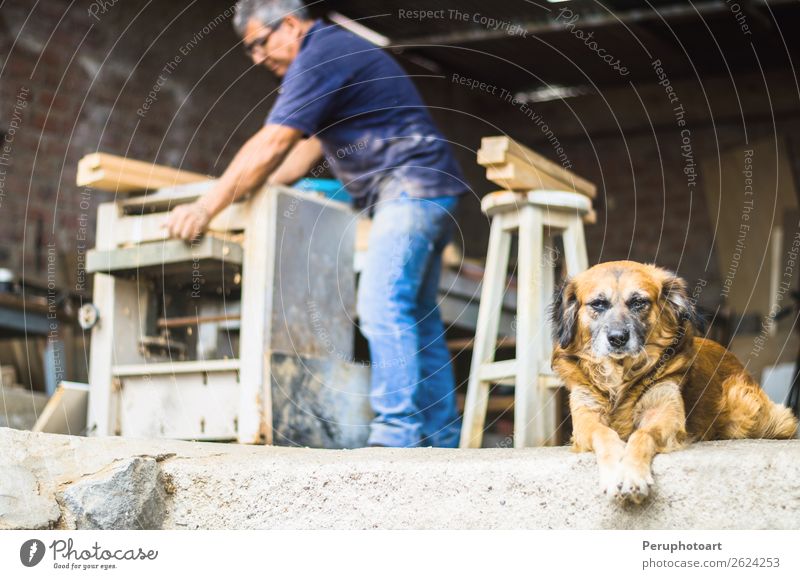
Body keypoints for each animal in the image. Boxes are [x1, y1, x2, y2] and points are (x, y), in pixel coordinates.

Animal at [552, 260, 796, 506]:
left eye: (639, 302)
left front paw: (631, 475)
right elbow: (604, 434)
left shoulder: (664, 414)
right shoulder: (586, 419)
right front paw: (614, 475)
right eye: (598, 304)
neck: (620, 375)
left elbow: (642, 435)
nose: (618, 338)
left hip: (752, 416)